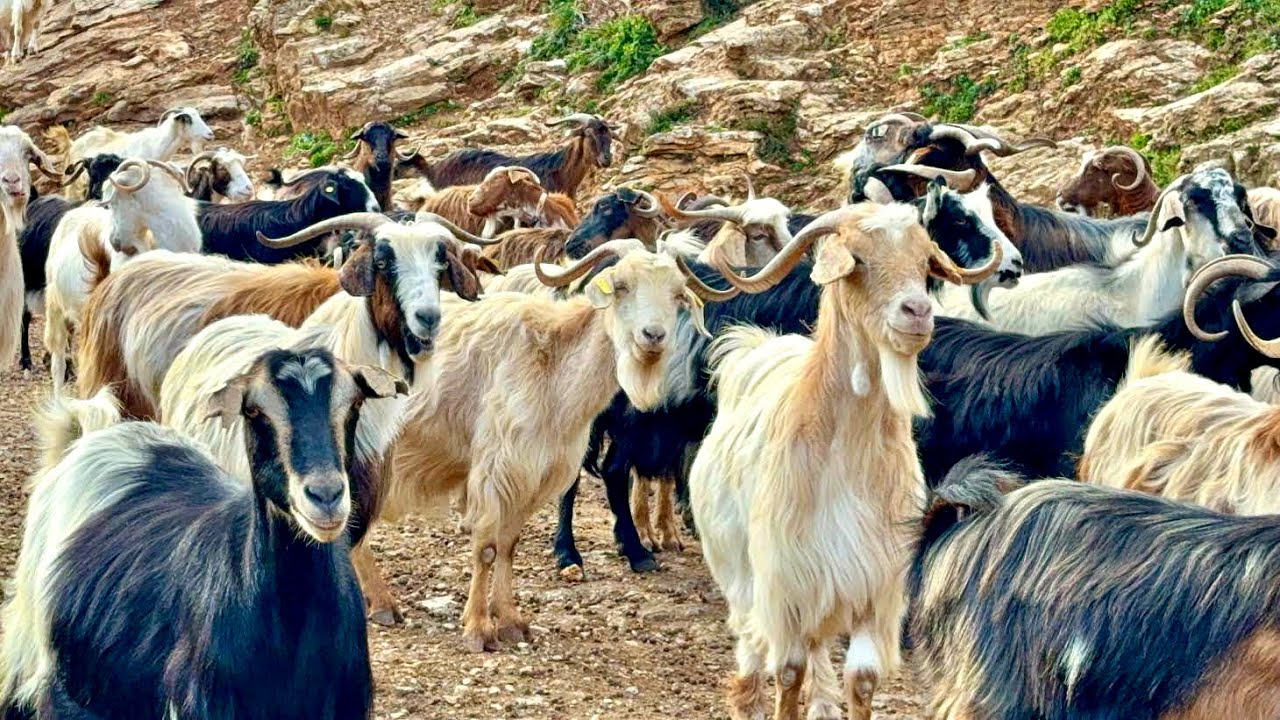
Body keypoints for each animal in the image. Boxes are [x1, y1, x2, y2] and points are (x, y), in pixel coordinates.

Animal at [377, 239, 732, 651]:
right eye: (621, 286)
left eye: (677, 294)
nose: (653, 336)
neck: (553, 363)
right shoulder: (496, 469)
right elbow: (486, 547)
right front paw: (479, 628)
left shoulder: (536, 471)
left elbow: (509, 545)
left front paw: (511, 621)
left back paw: (381, 602)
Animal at [687, 202, 999, 720]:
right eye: (858, 261)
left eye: (924, 263)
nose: (917, 312)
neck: (843, 461)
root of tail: (756, 351)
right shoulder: (785, 583)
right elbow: (787, 672)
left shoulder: (872, 586)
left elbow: (862, 679)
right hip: (736, 567)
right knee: (750, 640)